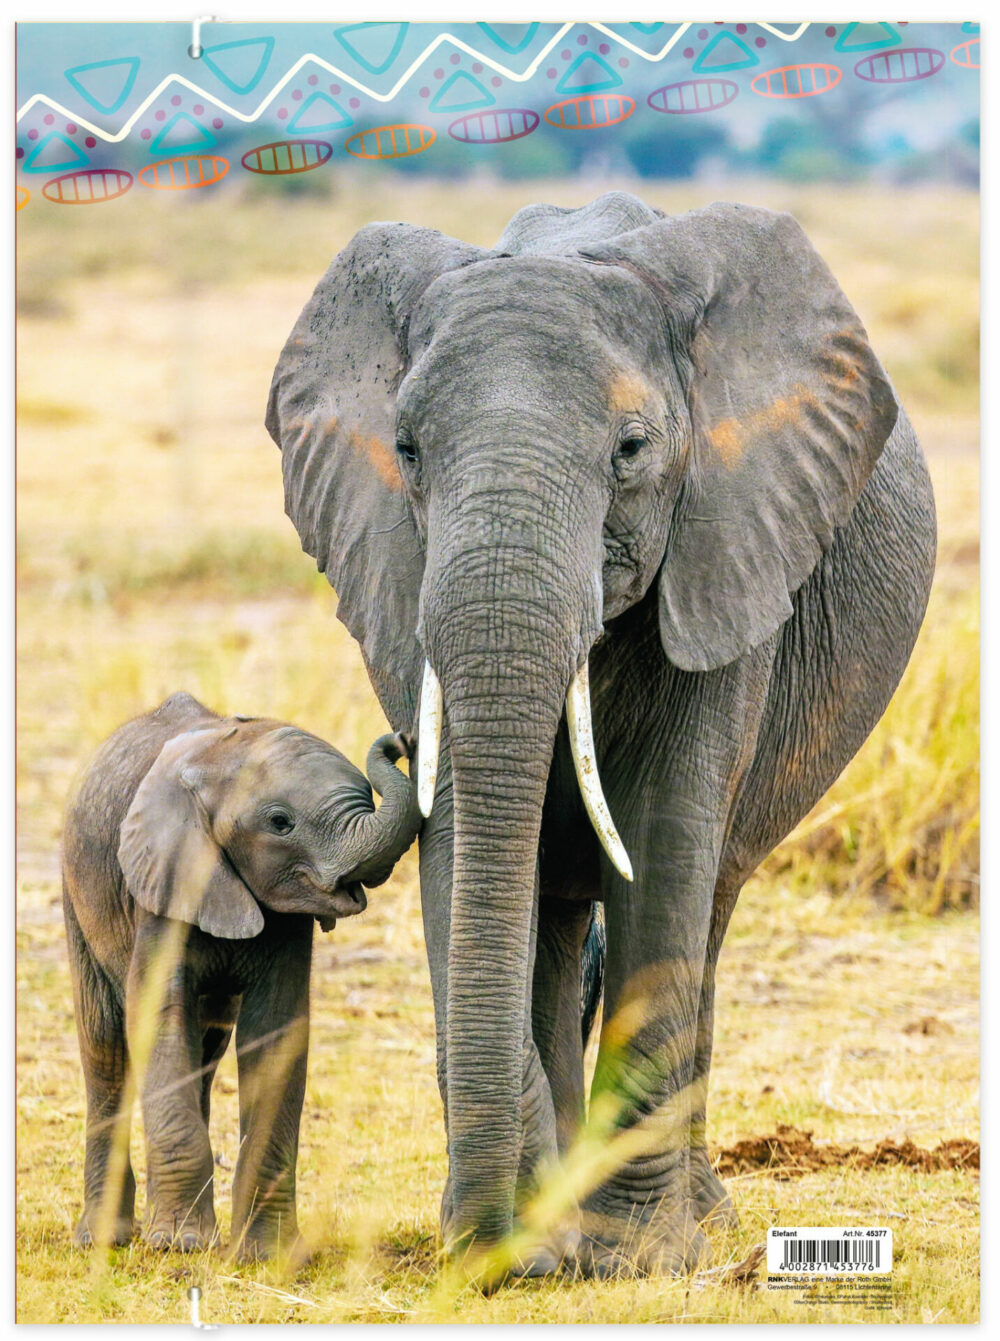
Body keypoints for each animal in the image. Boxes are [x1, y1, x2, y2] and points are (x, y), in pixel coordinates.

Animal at [61, 691, 420, 1255]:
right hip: (77, 893)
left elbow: (276, 1032)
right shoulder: (164, 883)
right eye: (280, 822)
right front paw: (179, 1246)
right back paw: (103, 1240)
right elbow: (157, 1015)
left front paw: (266, 1253)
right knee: (106, 1049)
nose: (401, 739)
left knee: (204, 1050)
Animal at [265, 191, 932, 1276]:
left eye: (629, 451)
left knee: (703, 907)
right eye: (405, 450)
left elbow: (661, 842)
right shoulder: (396, 565)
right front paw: (537, 1242)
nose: (497, 1250)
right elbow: (468, 842)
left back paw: (698, 1221)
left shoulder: (725, 551)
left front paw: (640, 1257)